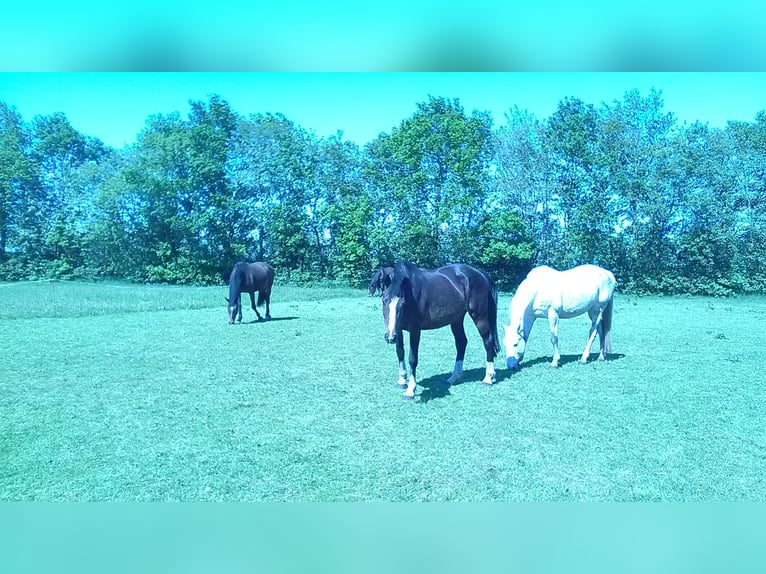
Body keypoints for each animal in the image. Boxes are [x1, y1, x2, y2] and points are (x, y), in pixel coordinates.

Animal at [382, 261, 500, 400]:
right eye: (384, 300)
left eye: (401, 303)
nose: (390, 337)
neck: (410, 294)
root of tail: (481, 274)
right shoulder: (398, 330)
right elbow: (400, 352)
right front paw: (401, 381)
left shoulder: (415, 330)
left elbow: (412, 358)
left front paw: (410, 390)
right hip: (456, 320)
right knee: (461, 343)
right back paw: (454, 377)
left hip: (479, 317)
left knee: (488, 342)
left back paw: (488, 378)